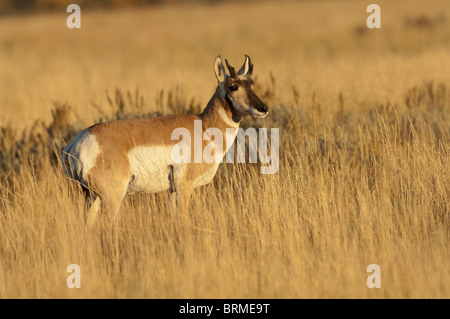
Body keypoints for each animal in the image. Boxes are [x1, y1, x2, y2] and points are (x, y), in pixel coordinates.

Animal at [62, 57, 268, 228]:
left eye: (251, 84)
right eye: (233, 86)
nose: (263, 108)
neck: (203, 127)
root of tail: (77, 142)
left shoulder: (172, 191)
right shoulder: (185, 186)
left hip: (91, 197)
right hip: (111, 198)